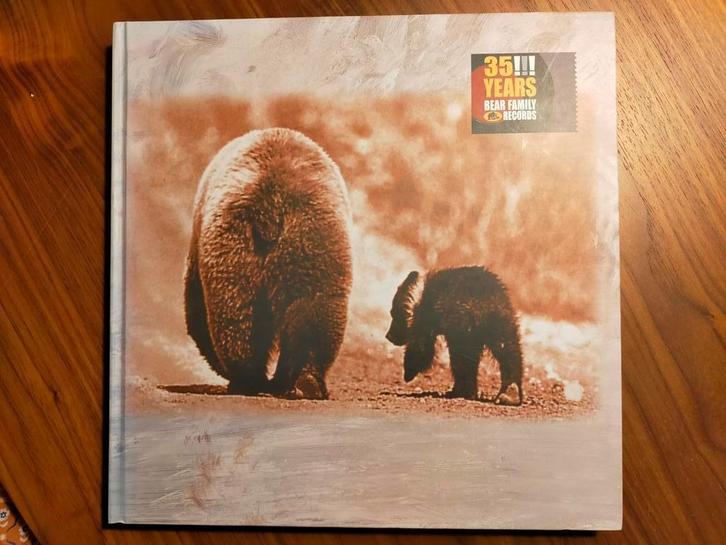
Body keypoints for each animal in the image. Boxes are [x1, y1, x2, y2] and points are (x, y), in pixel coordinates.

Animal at [184, 128, 352, 399]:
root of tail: (271, 202)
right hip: (311, 239)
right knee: (311, 307)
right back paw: (301, 381)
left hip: (239, 241)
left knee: (237, 315)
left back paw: (252, 380)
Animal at [386, 266, 523, 405]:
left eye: (393, 313)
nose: (389, 336)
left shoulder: (428, 317)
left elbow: (422, 347)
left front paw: (409, 372)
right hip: (500, 320)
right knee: (508, 348)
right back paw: (510, 392)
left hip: (464, 326)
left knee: (463, 359)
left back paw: (462, 391)